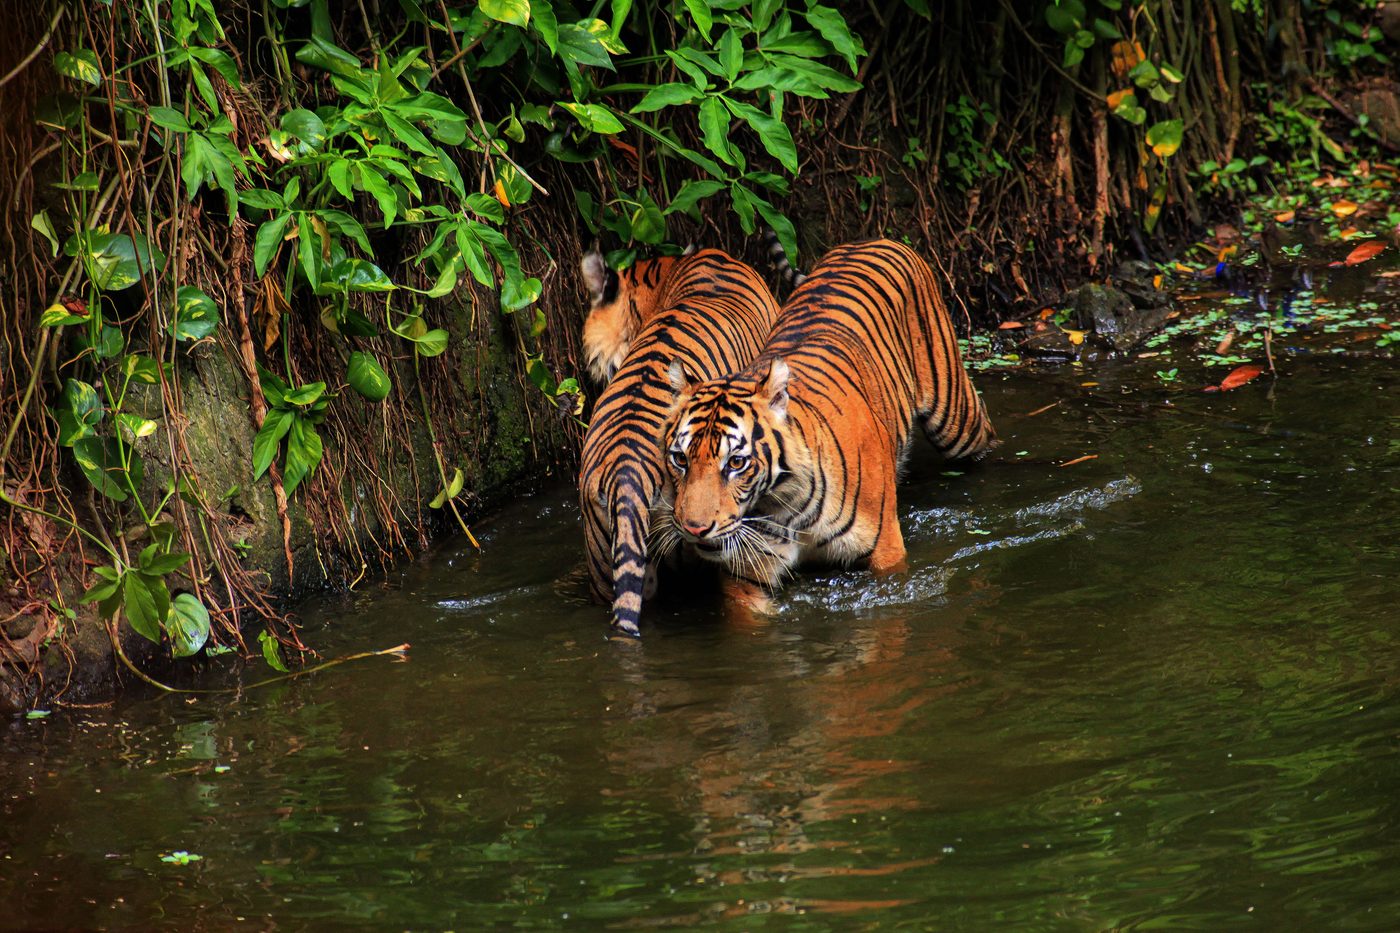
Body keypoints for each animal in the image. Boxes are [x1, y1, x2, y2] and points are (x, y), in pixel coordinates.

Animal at [655, 238, 997, 608]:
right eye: (680, 459)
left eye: (735, 463)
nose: (694, 528)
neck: (784, 505)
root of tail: (875, 239)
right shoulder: (747, 574)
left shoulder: (885, 553)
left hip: (955, 419)